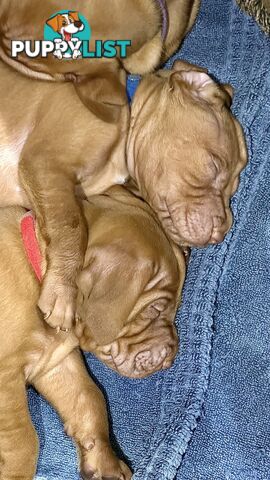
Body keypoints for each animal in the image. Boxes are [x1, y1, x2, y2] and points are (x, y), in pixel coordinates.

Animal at [0, 187, 186, 480]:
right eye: (154, 309)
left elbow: (90, 399)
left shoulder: (55, 361)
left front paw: (104, 463)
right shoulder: (5, 375)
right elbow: (24, 439)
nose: (172, 355)